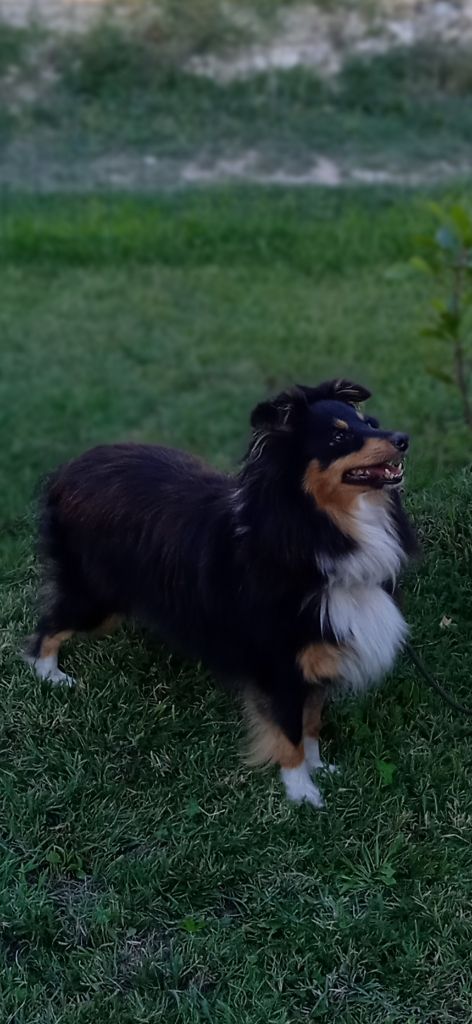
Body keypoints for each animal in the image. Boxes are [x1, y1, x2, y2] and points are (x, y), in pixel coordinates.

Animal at [25, 379, 416, 808]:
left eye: (371, 423)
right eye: (338, 436)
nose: (403, 439)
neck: (307, 531)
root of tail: (69, 469)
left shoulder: (316, 658)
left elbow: (311, 722)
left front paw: (319, 768)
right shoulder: (279, 665)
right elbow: (290, 731)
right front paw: (301, 791)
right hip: (95, 596)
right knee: (46, 628)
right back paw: (50, 675)